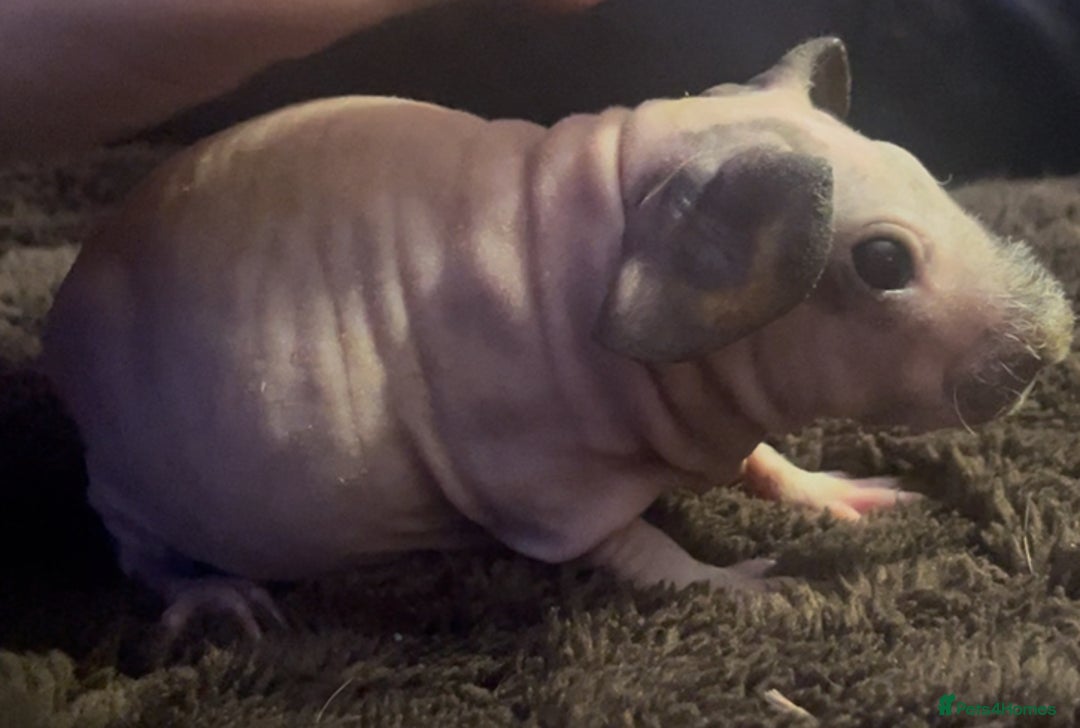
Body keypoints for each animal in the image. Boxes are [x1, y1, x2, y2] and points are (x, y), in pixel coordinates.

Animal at [42, 37, 1074, 635]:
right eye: (884, 261)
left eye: (920, 168)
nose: (1055, 335)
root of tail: (65, 321)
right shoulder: (538, 472)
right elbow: (635, 550)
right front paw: (742, 582)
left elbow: (763, 462)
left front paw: (833, 490)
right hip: (136, 486)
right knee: (142, 553)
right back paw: (212, 601)